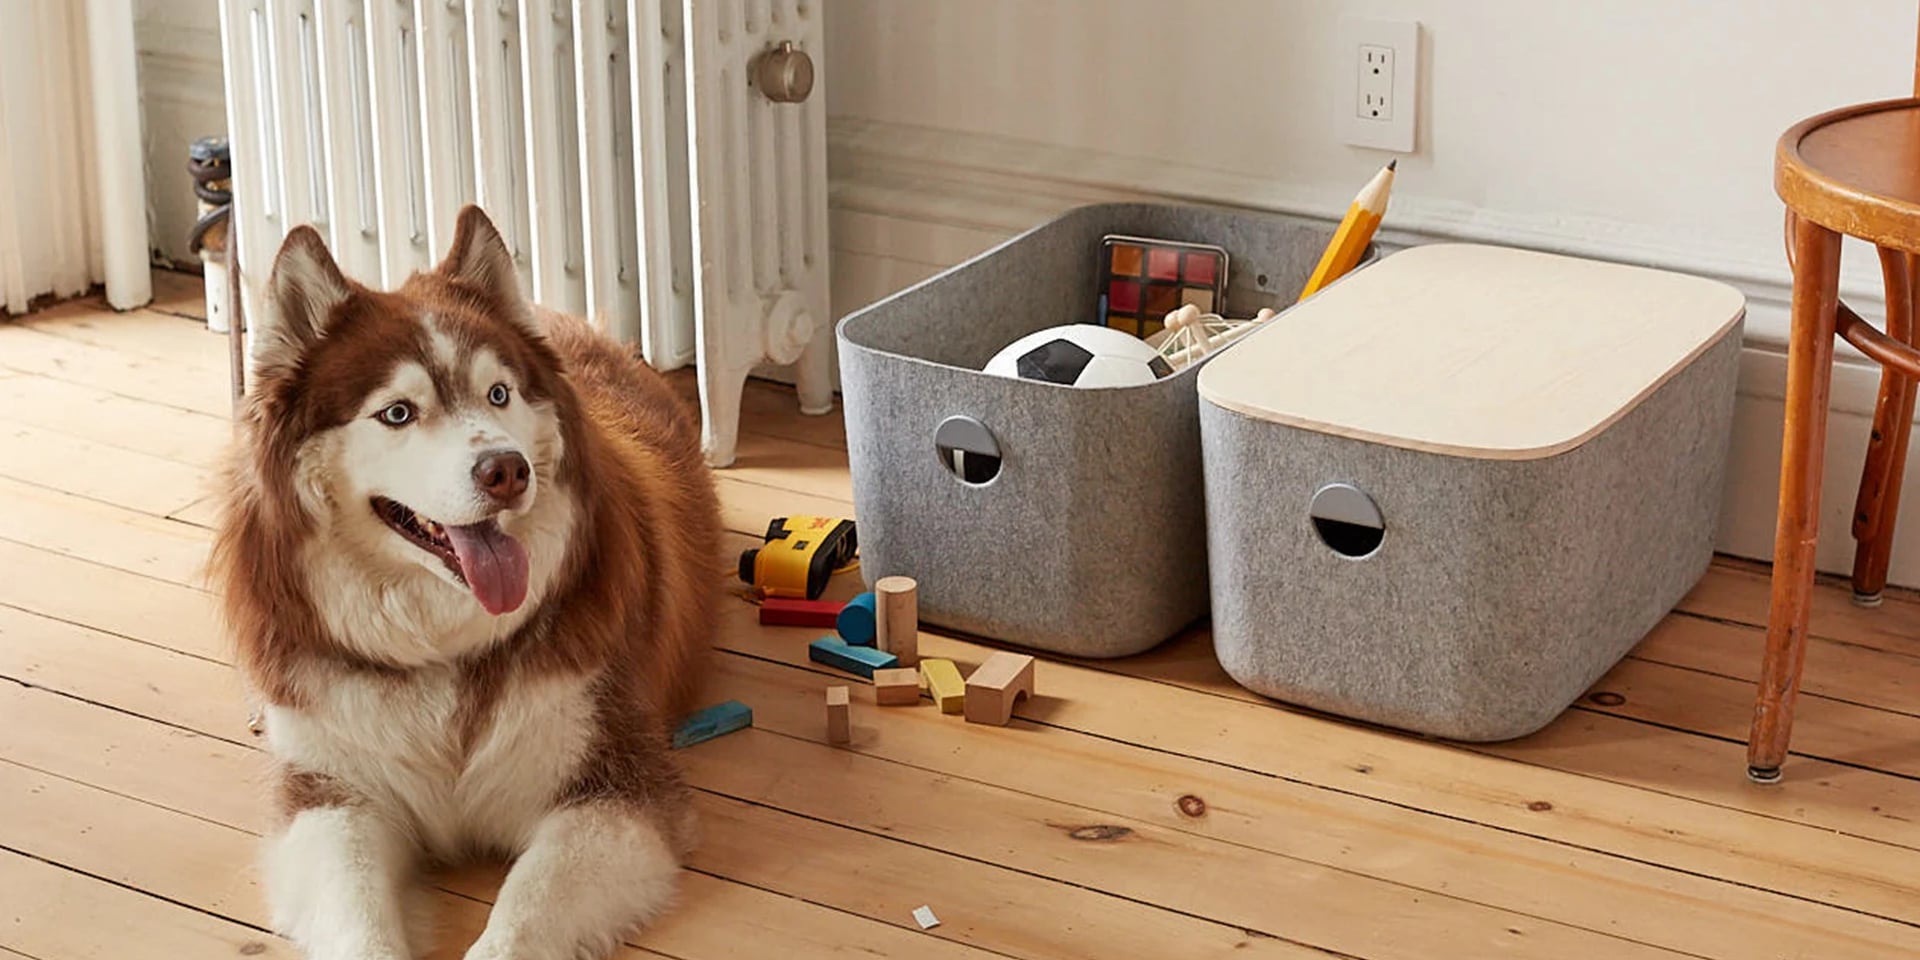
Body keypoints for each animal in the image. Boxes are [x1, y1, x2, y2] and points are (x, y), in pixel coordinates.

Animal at [210, 204, 721, 960]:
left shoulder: (615, 790)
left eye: (498, 394)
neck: (446, 650)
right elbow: (360, 923)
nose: (506, 470)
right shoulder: (331, 797)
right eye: (397, 412)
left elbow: (522, 918)